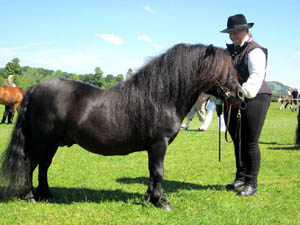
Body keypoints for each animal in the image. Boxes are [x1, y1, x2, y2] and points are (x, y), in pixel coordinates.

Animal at [0, 43, 244, 211]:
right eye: (221, 69)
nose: (241, 94)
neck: (160, 97)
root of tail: (34, 87)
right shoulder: (159, 144)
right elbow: (158, 172)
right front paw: (161, 201)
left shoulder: (153, 147)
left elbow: (152, 172)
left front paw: (149, 199)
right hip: (41, 141)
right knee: (30, 164)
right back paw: (30, 196)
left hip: (52, 143)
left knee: (43, 166)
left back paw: (46, 195)